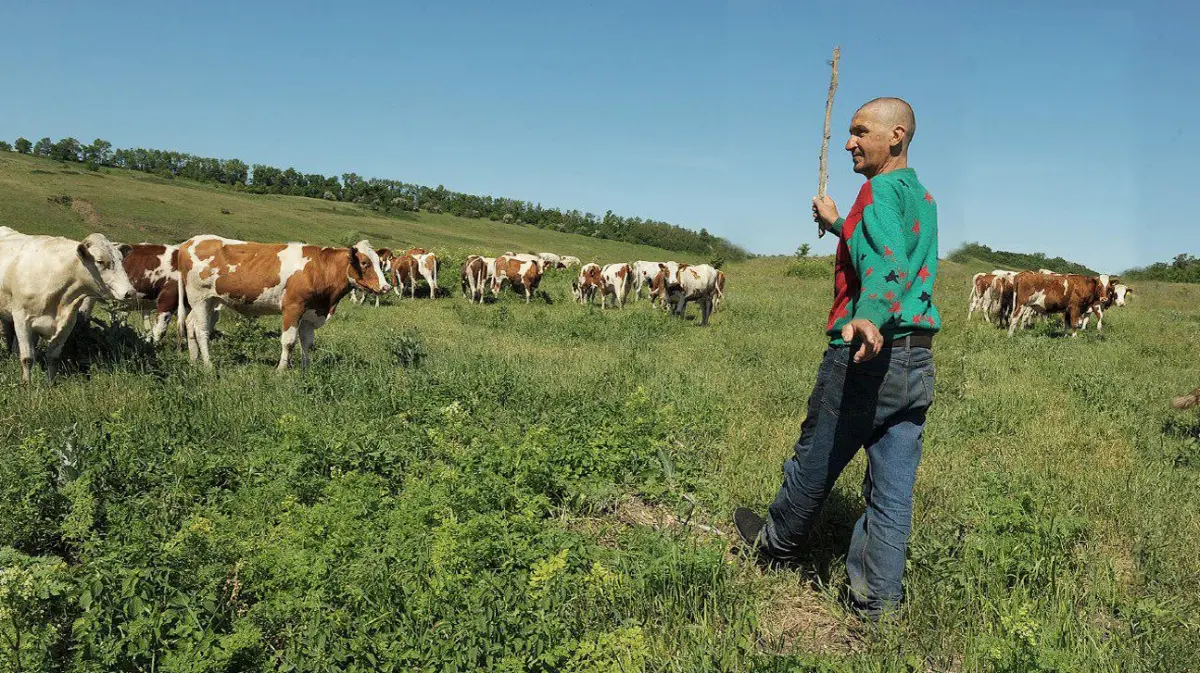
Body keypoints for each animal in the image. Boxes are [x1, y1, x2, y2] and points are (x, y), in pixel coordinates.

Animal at [0, 227, 137, 381]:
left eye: (121, 260)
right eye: (100, 261)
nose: (130, 292)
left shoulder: (67, 324)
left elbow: (53, 357)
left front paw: (50, 383)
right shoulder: (21, 319)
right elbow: (27, 358)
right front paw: (26, 384)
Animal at [176, 236, 388, 369]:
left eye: (380, 263)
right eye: (365, 263)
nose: (385, 287)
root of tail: (189, 242)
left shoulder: (311, 313)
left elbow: (307, 343)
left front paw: (306, 370)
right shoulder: (292, 308)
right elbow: (289, 341)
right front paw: (281, 370)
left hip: (211, 301)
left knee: (190, 325)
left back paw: (194, 360)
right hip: (199, 298)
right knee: (201, 330)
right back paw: (208, 365)